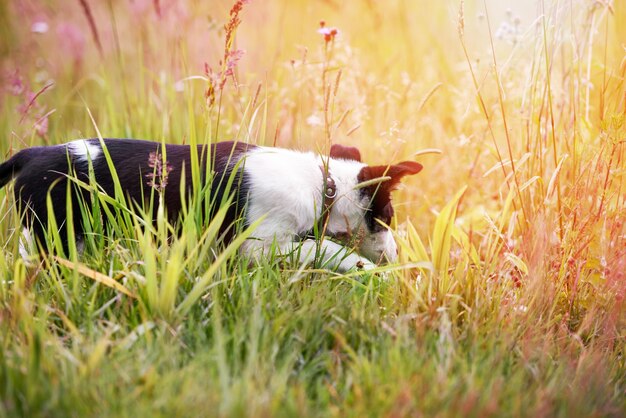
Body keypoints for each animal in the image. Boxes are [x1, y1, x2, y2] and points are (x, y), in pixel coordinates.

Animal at [0, 139, 422, 272]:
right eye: (388, 217)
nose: (398, 256)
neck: (323, 187)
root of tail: (29, 154)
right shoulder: (257, 245)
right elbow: (332, 251)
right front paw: (372, 272)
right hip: (55, 236)